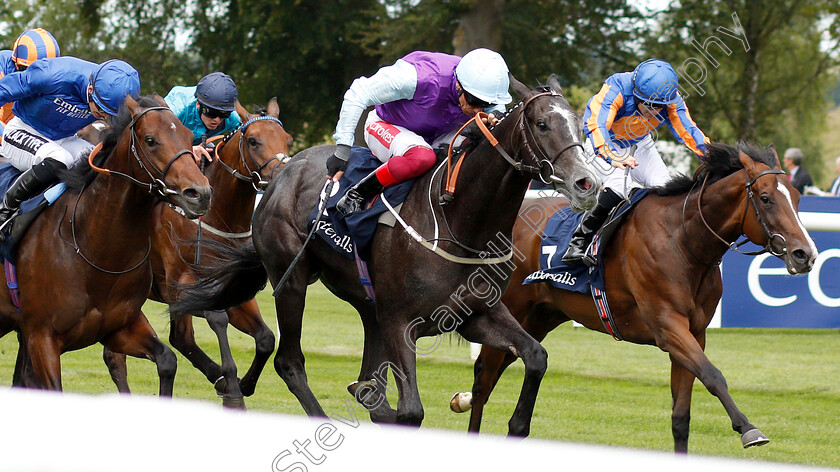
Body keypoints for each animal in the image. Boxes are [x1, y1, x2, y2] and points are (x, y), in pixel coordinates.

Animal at [5, 95, 213, 390]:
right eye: (150, 140)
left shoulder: (119, 327)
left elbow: (167, 360)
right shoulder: (41, 337)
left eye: (187, 135)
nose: (200, 194)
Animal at [101, 98, 292, 406]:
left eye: (287, 139)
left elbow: (265, 339)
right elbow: (216, 320)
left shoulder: (231, 289)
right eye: (253, 141)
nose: (281, 177)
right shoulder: (183, 289)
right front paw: (232, 387)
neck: (218, 217)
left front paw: (244, 384)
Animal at [450, 142, 816, 452]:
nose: (805, 255)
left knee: (503, 367)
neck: (684, 241)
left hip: (540, 317)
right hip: (510, 309)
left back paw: (462, 400)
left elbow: (681, 417)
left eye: (798, 198)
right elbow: (713, 376)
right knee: (485, 376)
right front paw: (748, 429)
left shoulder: (694, 332)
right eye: (766, 198)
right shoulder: (668, 327)